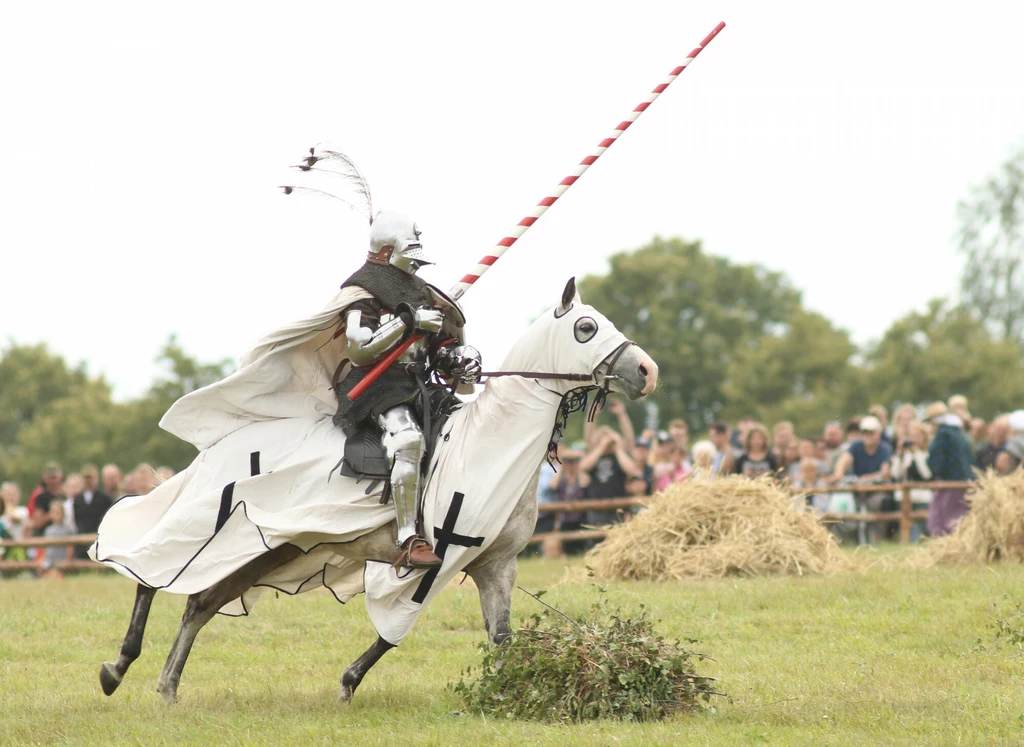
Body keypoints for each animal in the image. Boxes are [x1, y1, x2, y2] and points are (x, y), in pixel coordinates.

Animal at [94, 276, 655, 700]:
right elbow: (394, 631)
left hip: (267, 547)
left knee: (198, 602)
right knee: (149, 566)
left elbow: (501, 638)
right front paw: (348, 683)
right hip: (213, 521)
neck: (490, 439)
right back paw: (118, 666)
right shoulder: (441, 559)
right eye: (586, 327)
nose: (647, 371)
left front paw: (511, 694)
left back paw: (166, 686)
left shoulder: (496, 566)